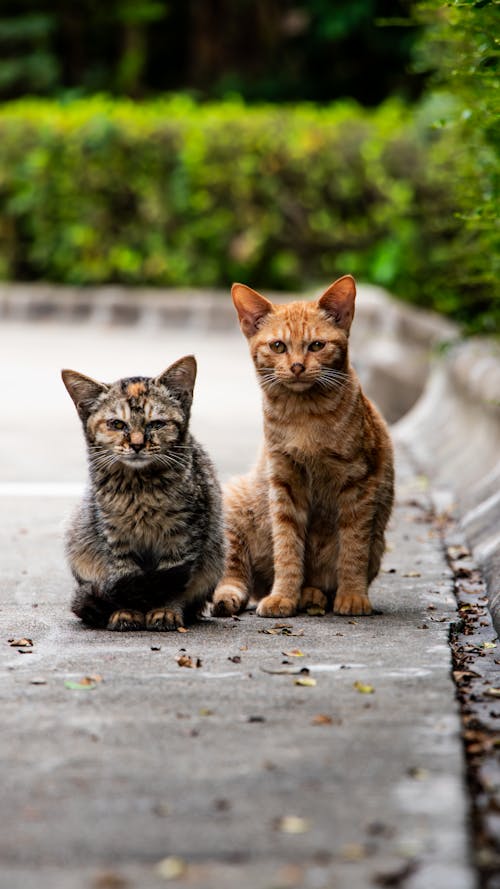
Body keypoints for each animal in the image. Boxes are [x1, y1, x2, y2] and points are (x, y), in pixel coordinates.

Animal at [61, 354, 224, 632]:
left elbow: (171, 580)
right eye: (117, 424)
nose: (137, 444)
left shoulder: (183, 535)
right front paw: (127, 612)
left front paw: (165, 611)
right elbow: (126, 576)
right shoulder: (115, 537)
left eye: (156, 424)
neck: (139, 488)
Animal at [212, 272, 394, 616]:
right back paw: (230, 597)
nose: (297, 366)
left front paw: (353, 595)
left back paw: (313, 594)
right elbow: (287, 547)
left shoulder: (358, 484)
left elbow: (353, 548)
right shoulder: (284, 480)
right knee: (235, 573)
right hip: (233, 503)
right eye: (278, 346)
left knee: (325, 578)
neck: (304, 415)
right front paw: (284, 596)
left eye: (317, 345)